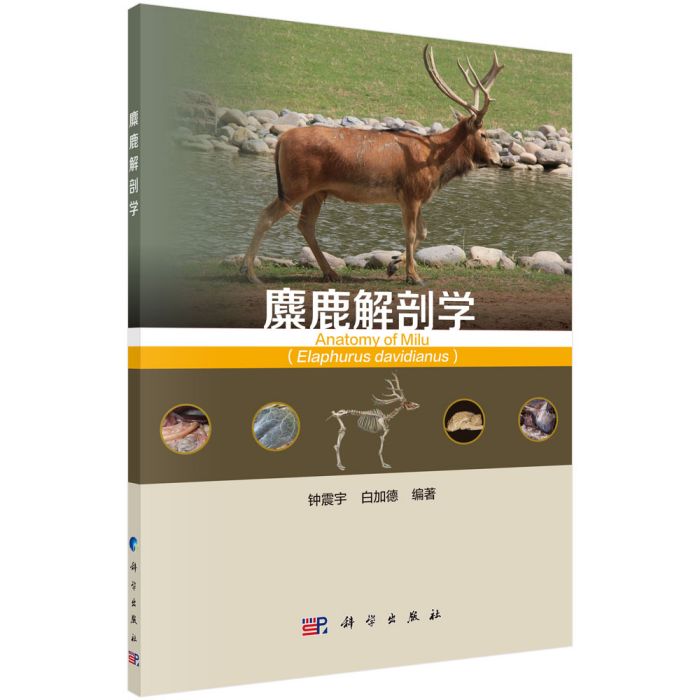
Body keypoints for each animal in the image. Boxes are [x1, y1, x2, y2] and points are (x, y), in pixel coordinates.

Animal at [242, 44, 504, 287]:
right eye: (484, 135)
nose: (498, 159)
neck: (437, 163)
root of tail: (281, 140)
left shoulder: (416, 197)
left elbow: (423, 232)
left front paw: (394, 265)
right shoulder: (411, 193)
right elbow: (411, 234)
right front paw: (413, 276)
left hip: (316, 191)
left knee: (305, 224)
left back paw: (330, 272)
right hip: (296, 185)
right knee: (267, 215)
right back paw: (251, 273)